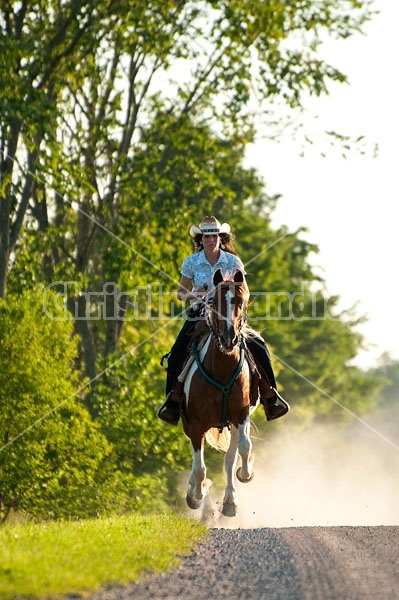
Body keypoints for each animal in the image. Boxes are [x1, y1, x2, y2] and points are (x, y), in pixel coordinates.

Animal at [182, 268, 258, 516]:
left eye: (240, 301)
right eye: (214, 302)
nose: (229, 338)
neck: (222, 370)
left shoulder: (241, 414)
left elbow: (244, 448)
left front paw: (246, 474)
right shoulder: (196, 424)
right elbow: (200, 468)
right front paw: (196, 495)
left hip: (232, 424)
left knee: (230, 457)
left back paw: (230, 502)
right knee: (198, 462)